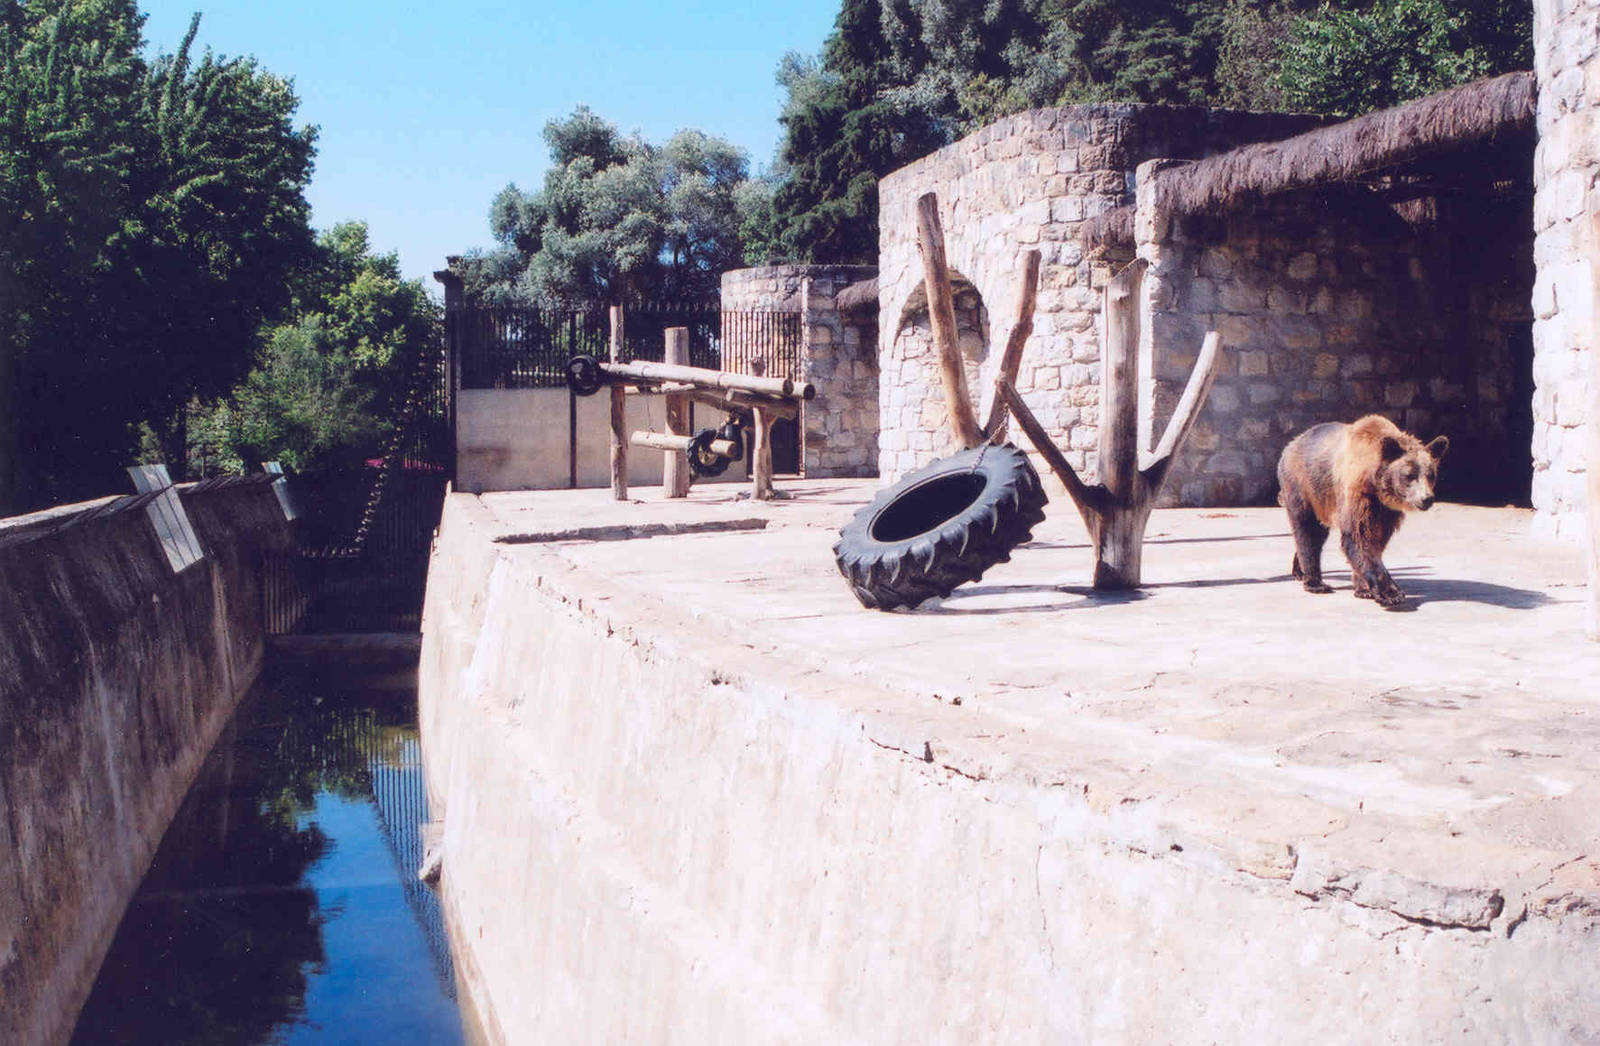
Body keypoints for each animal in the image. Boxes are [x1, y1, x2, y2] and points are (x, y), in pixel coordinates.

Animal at [1276, 414, 1448, 607]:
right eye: (1409, 475)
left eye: (1431, 475)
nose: (1426, 499)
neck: (1375, 484)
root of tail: (1291, 444)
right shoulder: (1357, 494)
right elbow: (1359, 537)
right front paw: (1390, 593)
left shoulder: (1385, 510)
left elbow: (1377, 540)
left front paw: (1363, 589)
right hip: (1303, 486)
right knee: (1308, 529)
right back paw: (1316, 583)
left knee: (1317, 533)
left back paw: (1299, 571)